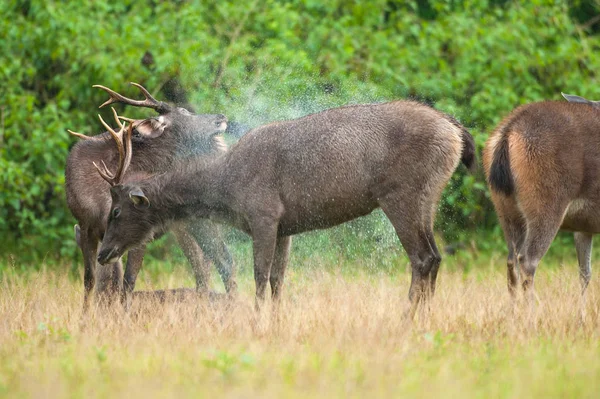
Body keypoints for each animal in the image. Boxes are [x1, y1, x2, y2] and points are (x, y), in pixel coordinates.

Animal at [65, 83, 234, 310]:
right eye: (184, 112)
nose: (221, 117)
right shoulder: (87, 227)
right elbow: (89, 280)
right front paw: (86, 316)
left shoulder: (139, 232)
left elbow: (128, 281)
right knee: (205, 266)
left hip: (199, 220)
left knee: (220, 261)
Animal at [96, 100, 476, 310]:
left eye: (117, 210)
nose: (102, 253)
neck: (227, 190)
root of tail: (457, 132)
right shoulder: (287, 226)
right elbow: (279, 279)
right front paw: (277, 321)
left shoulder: (263, 214)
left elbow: (260, 275)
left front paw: (257, 321)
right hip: (427, 198)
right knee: (435, 256)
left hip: (402, 193)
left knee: (422, 258)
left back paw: (405, 319)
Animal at [486, 94, 600, 298]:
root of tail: (508, 131)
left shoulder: (584, 226)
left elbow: (585, 273)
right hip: (547, 202)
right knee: (527, 260)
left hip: (505, 209)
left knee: (511, 261)